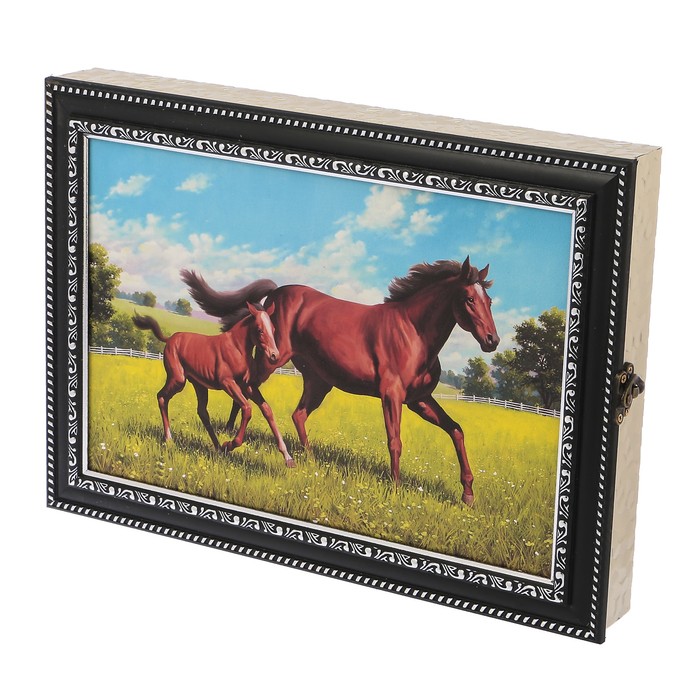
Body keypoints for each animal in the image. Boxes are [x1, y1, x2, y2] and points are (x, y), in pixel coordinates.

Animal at [132, 302, 295, 467]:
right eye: (260, 330)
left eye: (273, 329)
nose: (274, 356)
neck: (237, 348)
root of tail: (170, 338)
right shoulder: (227, 383)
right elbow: (247, 409)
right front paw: (230, 444)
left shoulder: (248, 385)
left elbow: (267, 410)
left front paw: (288, 458)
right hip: (178, 380)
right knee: (162, 397)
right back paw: (170, 439)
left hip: (199, 385)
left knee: (202, 412)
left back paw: (217, 447)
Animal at [181, 257, 499, 504]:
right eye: (470, 299)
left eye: (489, 301)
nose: (492, 341)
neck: (412, 332)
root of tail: (276, 293)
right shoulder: (392, 395)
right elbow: (395, 441)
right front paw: (395, 489)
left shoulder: (419, 400)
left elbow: (456, 430)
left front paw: (468, 494)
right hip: (273, 358)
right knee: (249, 387)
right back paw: (231, 439)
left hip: (318, 381)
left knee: (296, 413)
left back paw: (306, 459)